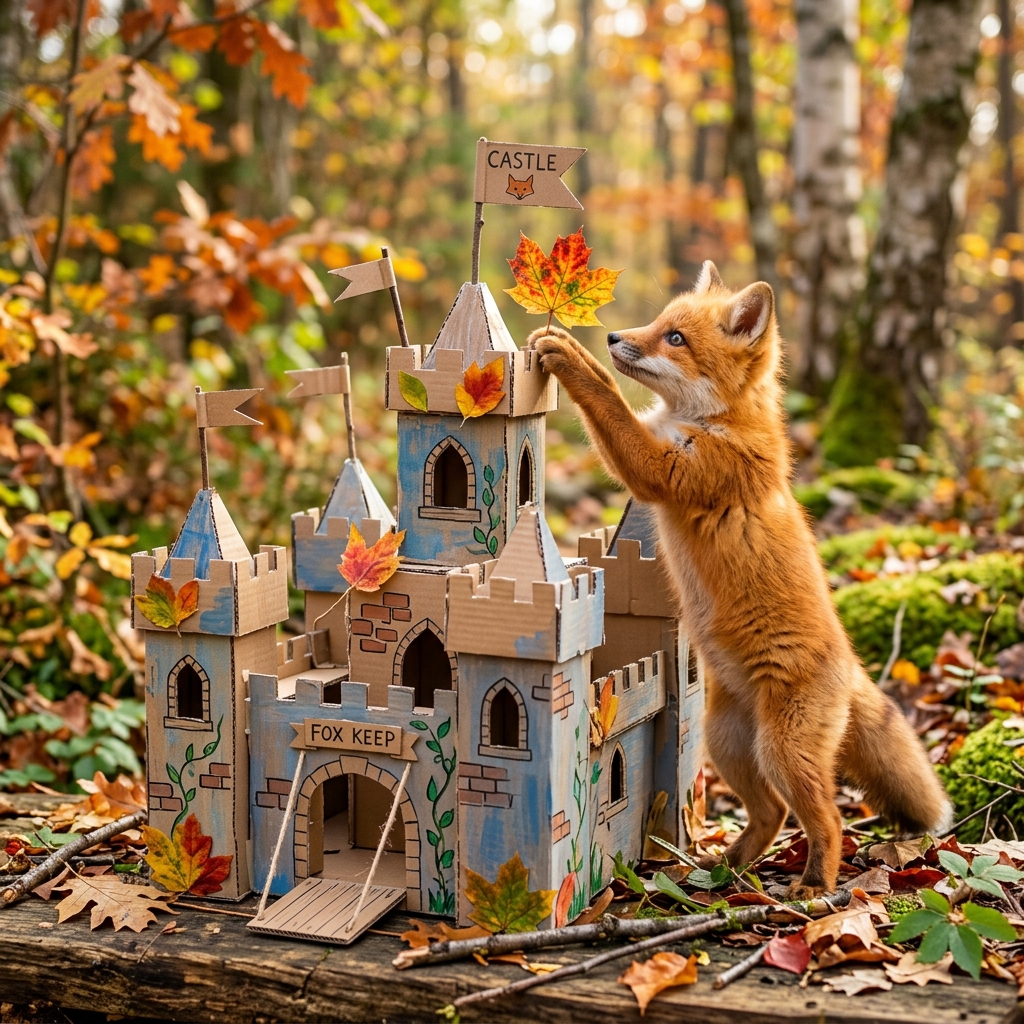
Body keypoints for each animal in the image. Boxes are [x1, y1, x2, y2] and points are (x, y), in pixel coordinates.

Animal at [530, 262, 951, 898]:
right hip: (726, 745)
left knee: (825, 818)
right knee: (772, 814)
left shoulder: (664, 471)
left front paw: (571, 356)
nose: (612, 336)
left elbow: (609, 401)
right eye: (660, 323)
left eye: (676, 339)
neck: (713, 423)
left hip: (781, 752)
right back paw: (725, 868)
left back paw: (813, 886)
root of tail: (851, 662)